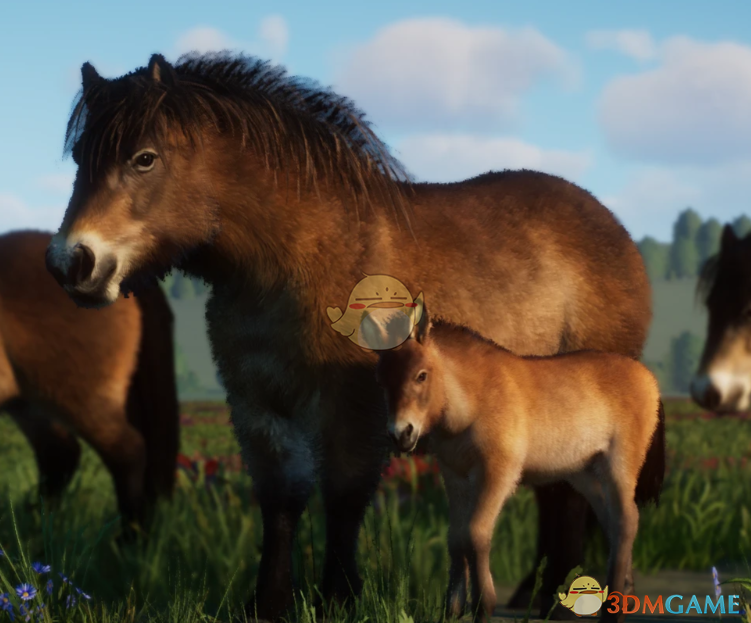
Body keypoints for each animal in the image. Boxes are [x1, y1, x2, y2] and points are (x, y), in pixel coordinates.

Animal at [376, 308, 661, 623]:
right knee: (613, 520)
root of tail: (647, 377)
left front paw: (483, 606)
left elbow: (476, 534)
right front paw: (453, 609)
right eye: (383, 380)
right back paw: (625, 591)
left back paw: (614, 608)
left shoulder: (497, 473)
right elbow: (456, 538)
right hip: (585, 474)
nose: (400, 434)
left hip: (619, 465)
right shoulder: (454, 476)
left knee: (626, 520)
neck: (475, 398)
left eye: (421, 375)